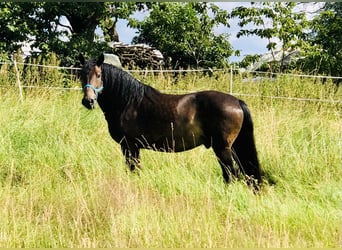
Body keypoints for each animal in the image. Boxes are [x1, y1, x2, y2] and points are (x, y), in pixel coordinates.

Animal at [79, 53, 262, 188]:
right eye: (81, 75)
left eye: (99, 75)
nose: (88, 101)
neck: (128, 102)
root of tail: (236, 101)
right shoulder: (133, 147)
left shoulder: (129, 146)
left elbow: (133, 170)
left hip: (223, 148)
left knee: (232, 174)